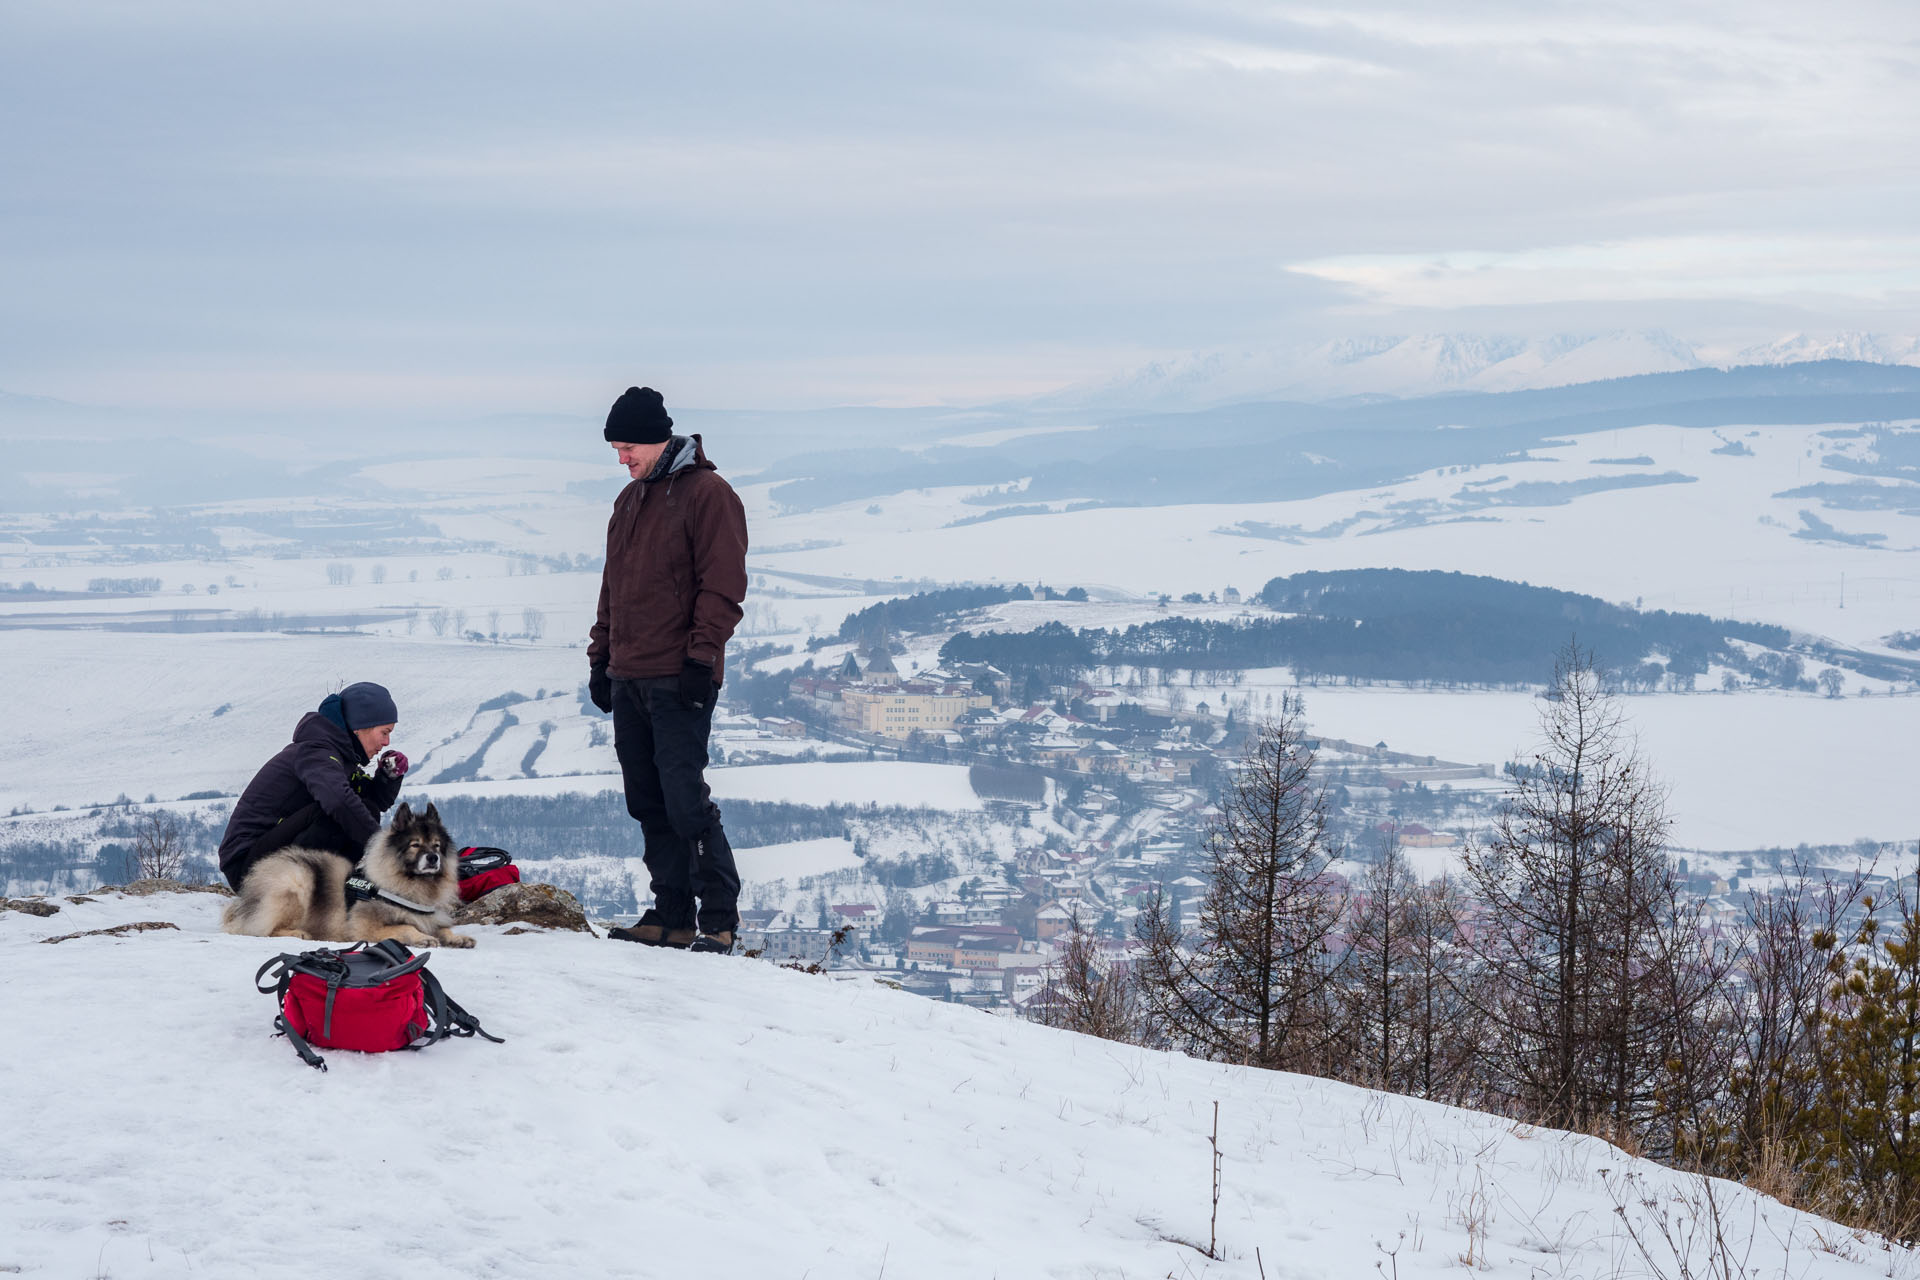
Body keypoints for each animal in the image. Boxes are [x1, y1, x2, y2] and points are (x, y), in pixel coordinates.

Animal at [220, 805, 476, 948]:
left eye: (437, 845)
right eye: (415, 844)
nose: (433, 858)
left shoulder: (429, 919)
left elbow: (442, 929)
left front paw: (458, 938)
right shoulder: (365, 928)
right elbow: (405, 927)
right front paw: (423, 938)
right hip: (297, 882)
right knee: (262, 929)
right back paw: (297, 933)